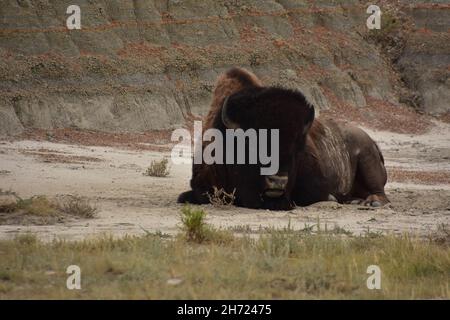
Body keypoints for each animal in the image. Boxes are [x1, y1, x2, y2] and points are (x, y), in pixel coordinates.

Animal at [178, 67, 388, 210]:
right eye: (250, 144)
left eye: (297, 148)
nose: (277, 181)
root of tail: (373, 142)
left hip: (367, 160)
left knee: (381, 193)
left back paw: (372, 203)